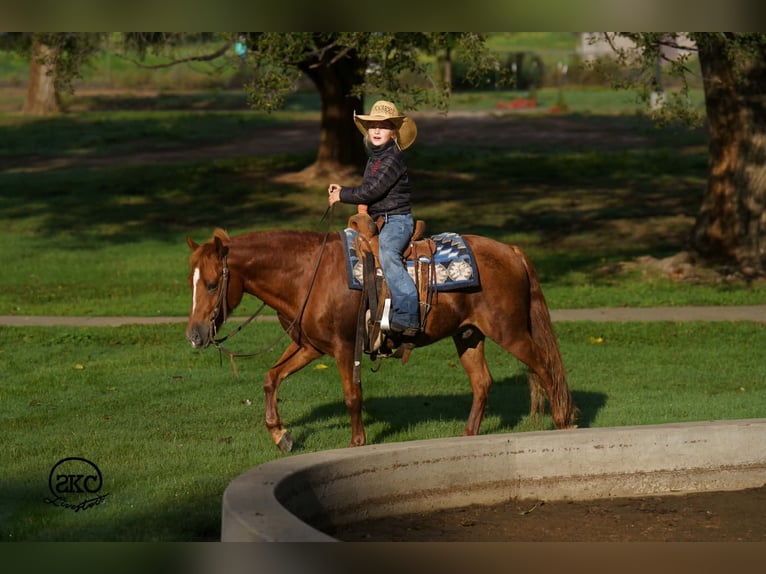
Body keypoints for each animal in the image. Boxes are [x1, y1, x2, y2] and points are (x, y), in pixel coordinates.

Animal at [185, 227, 578, 452]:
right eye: (192, 281)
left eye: (212, 284)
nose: (194, 335)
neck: (309, 274)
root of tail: (512, 251)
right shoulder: (309, 346)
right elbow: (271, 378)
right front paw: (282, 436)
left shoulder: (344, 348)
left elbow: (352, 396)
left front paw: (357, 442)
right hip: (468, 334)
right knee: (482, 382)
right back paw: (467, 437)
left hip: (510, 332)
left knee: (547, 367)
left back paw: (564, 423)